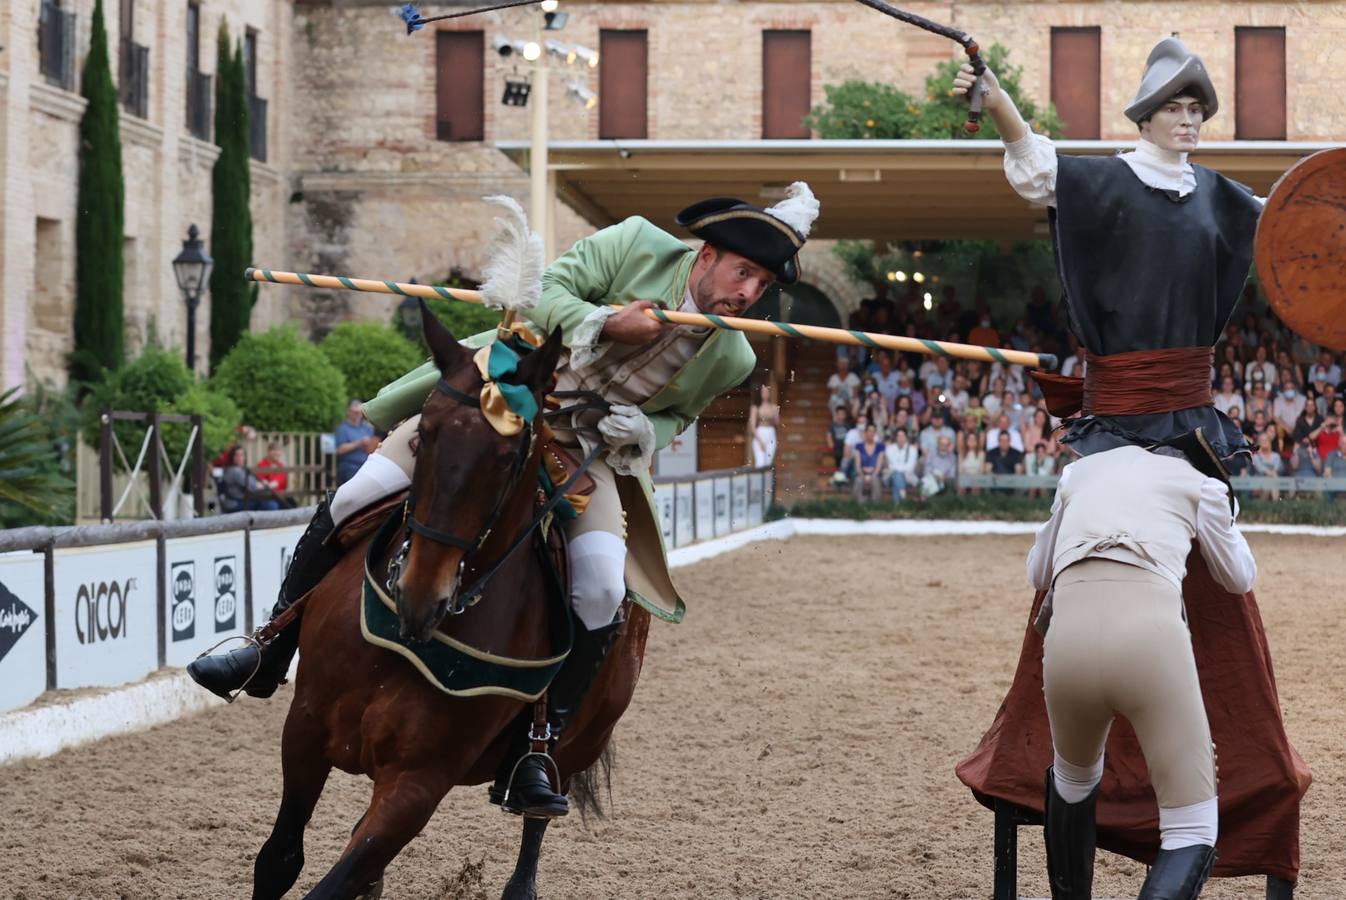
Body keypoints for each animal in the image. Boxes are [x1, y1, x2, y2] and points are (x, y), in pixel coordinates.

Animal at [255, 305, 651, 893]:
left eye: (509, 458)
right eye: (424, 434)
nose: (421, 596)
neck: (402, 645)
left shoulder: (418, 784)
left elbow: (337, 881)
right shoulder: (304, 730)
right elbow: (279, 860)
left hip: (579, 744)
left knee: (535, 823)